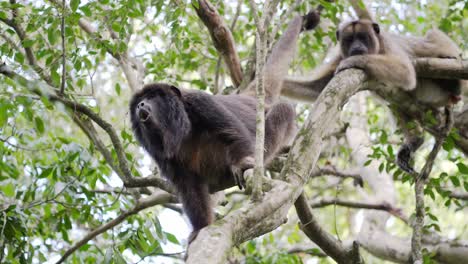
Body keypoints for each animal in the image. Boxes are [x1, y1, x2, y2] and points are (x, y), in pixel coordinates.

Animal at [130, 9, 322, 241]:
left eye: (151, 97)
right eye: (140, 100)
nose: (140, 104)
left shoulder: (199, 101)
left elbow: (231, 132)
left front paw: (243, 163)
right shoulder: (159, 154)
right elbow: (188, 186)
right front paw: (200, 227)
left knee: (283, 109)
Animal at [284, 19, 466, 175]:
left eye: (363, 37)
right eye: (349, 39)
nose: (356, 46)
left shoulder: (386, 42)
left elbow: (405, 71)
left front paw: (353, 61)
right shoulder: (340, 54)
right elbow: (317, 87)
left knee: (431, 37)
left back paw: (454, 82)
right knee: (396, 104)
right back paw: (416, 140)